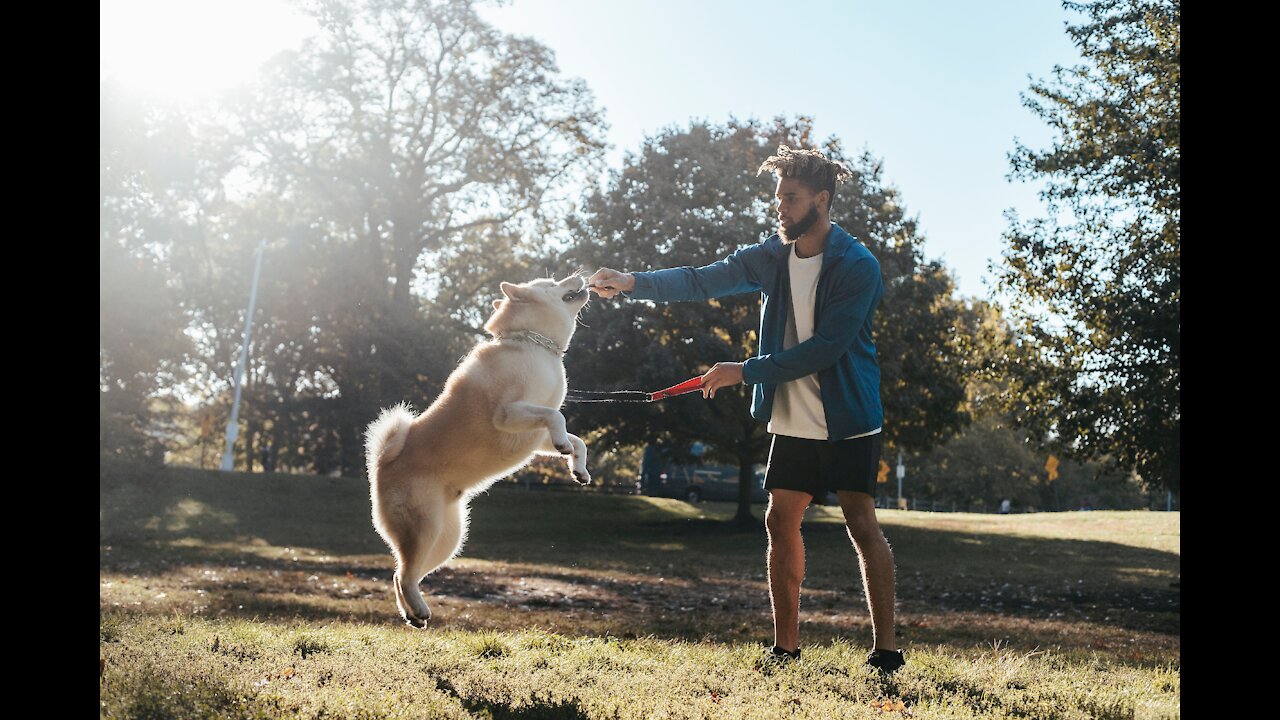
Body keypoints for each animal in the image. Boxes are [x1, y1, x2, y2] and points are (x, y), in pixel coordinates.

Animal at [363, 274, 591, 622]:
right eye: (553, 283)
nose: (579, 276)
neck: (533, 344)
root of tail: (381, 466)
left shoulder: (536, 435)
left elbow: (575, 437)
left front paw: (578, 467)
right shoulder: (509, 414)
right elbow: (558, 416)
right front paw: (565, 445)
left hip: (448, 539)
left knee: (401, 574)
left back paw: (413, 613)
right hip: (426, 528)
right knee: (403, 574)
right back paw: (418, 609)